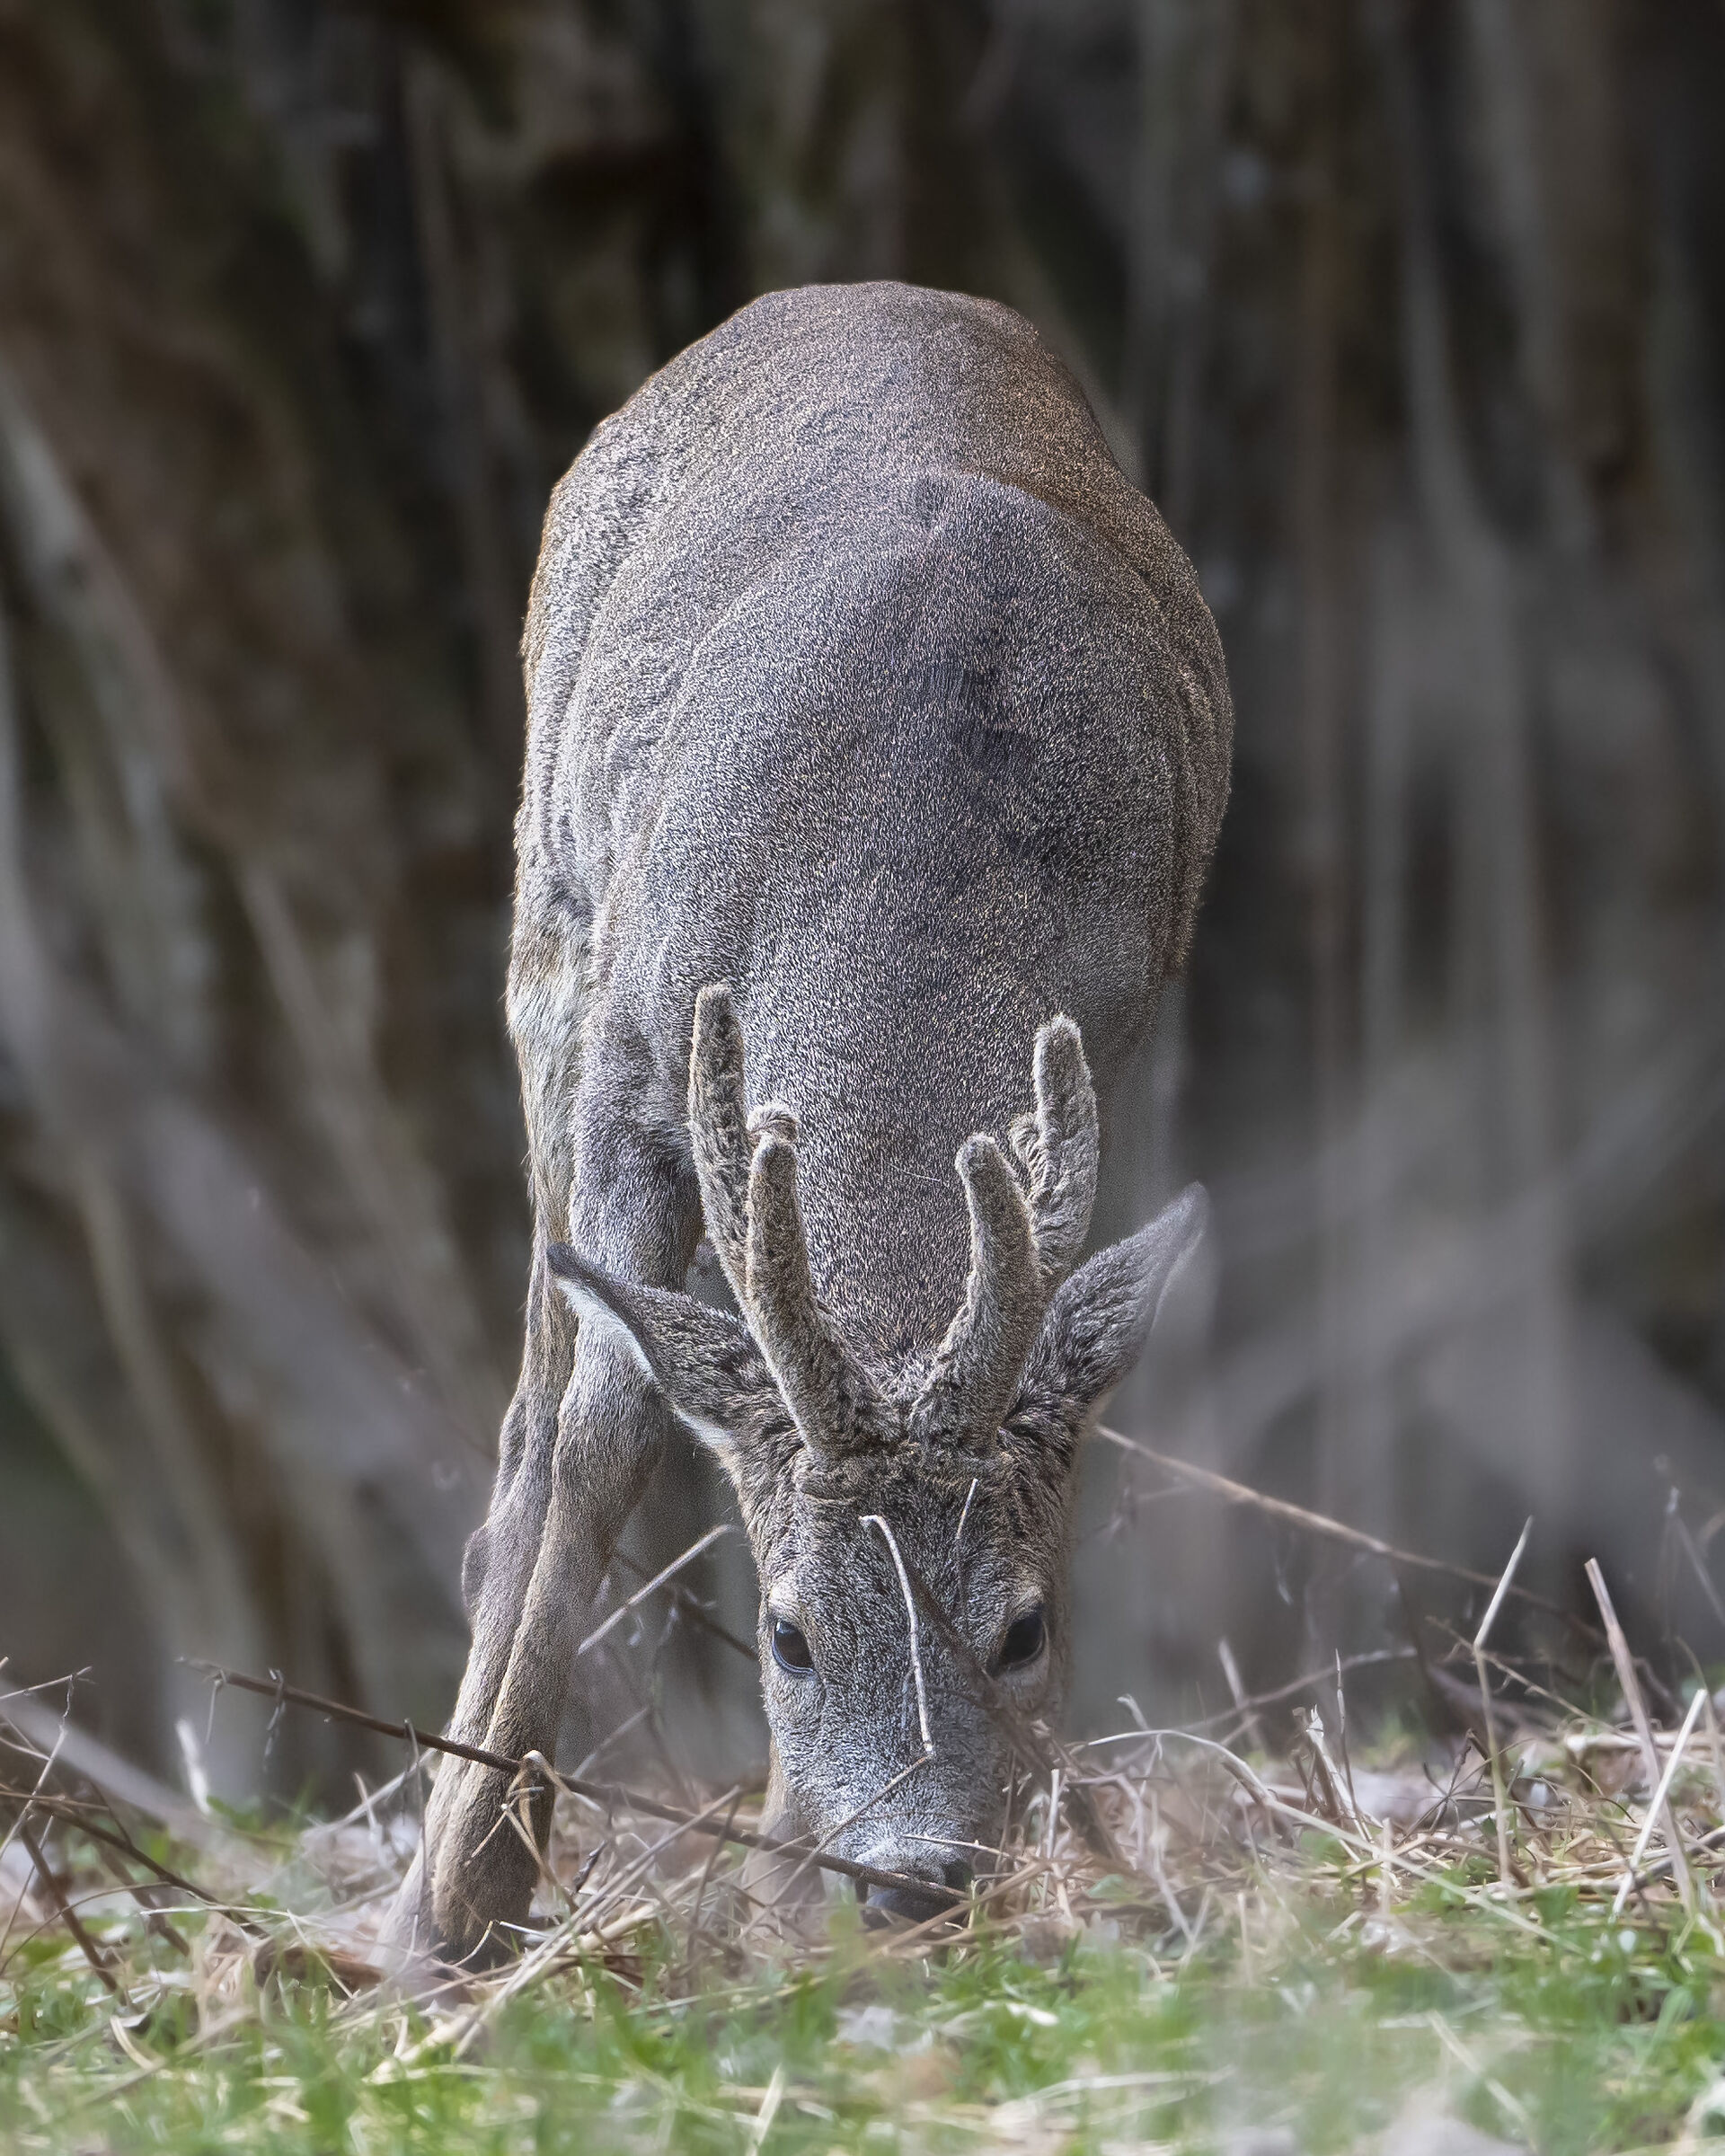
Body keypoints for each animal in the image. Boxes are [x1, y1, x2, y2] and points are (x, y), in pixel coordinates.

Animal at [394, 280, 1232, 1962]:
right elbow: (599, 1429)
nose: (914, 1874)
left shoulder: (1107, 1046)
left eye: (1025, 1628)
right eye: (786, 1638)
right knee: (532, 1419)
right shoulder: (639, 1050)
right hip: (548, 921)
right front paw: (459, 1911)